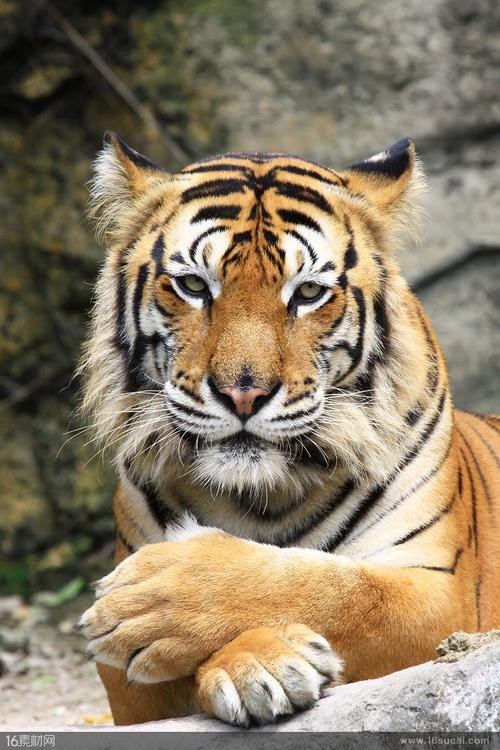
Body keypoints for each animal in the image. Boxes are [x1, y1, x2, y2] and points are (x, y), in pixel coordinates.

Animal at [77, 132, 500, 727]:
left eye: (307, 293)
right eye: (192, 286)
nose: (243, 393)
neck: (262, 497)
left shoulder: (445, 595)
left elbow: (338, 589)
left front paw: (154, 602)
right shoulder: (131, 694)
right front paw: (260, 663)